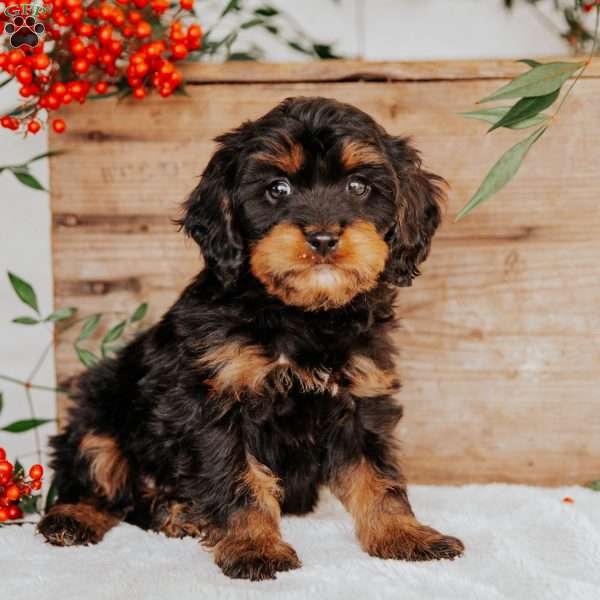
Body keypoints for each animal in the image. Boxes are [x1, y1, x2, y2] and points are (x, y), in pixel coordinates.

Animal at [38, 96, 464, 580]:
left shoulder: (362, 396)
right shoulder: (215, 399)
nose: (322, 237)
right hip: (101, 406)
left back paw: (174, 511)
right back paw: (75, 518)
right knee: (96, 475)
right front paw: (253, 547)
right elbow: (237, 479)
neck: (302, 315)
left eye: (358, 186)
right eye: (278, 189)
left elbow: (379, 476)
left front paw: (405, 535)